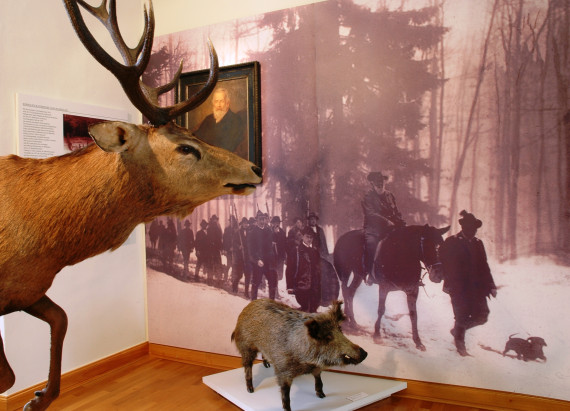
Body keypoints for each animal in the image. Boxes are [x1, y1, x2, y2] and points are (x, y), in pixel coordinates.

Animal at [0, 1, 262, 410]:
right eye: (185, 147)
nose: (255, 168)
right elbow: (8, 374)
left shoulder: (25, 287)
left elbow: (58, 322)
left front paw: (39, 396)